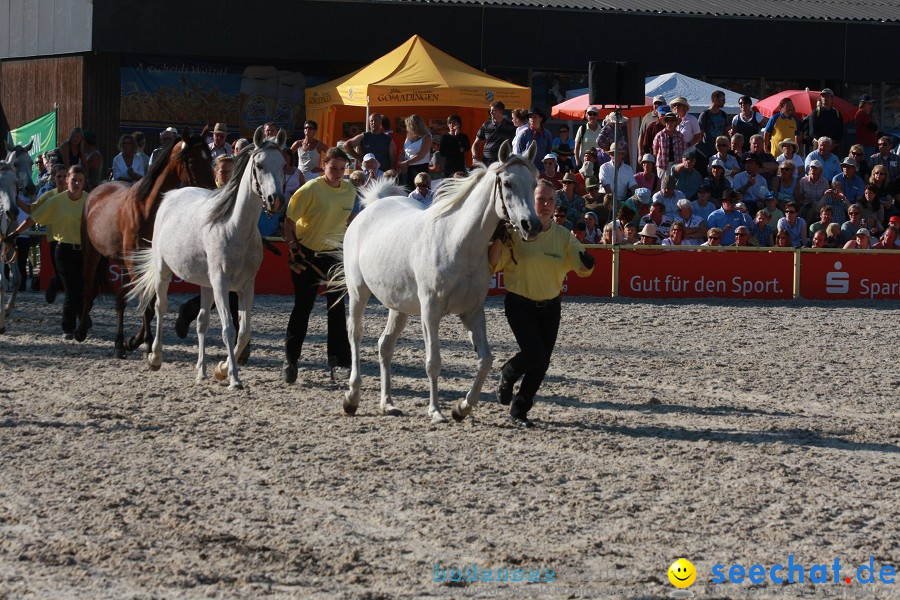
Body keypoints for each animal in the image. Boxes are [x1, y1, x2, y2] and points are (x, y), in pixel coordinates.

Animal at [75, 124, 216, 354]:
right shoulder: (134, 262)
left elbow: (149, 302)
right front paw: (147, 341)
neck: (147, 208)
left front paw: (135, 340)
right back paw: (81, 331)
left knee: (121, 299)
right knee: (88, 288)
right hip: (92, 253)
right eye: (193, 161)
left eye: (210, 158)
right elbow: (146, 303)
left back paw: (119, 342)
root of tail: (96, 190)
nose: (213, 191)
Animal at [128, 126, 284, 390]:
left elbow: (244, 331)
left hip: (205, 284)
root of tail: (171, 194)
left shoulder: (246, 286)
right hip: (163, 271)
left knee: (202, 322)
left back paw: (201, 371)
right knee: (160, 307)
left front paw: (220, 370)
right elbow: (228, 329)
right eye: (260, 165)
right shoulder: (221, 284)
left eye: (283, 163)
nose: (276, 200)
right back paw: (155, 357)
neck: (233, 227)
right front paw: (233, 378)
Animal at [344, 139, 540, 422]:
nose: (531, 225)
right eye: (508, 183)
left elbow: (485, 360)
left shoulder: (472, 312)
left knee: (385, 346)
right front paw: (436, 411)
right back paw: (352, 397)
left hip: (398, 307)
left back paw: (388, 403)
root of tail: (370, 208)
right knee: (355, 335)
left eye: (535, 183)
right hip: (358, 294)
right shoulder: (430, 312)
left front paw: (462, 408)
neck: (457, 242)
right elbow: (433, 362)